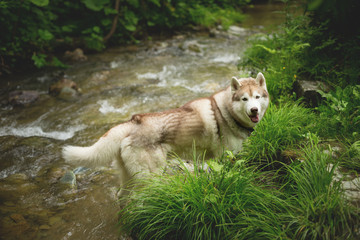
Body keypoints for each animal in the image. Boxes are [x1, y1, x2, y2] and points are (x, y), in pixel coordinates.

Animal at [63, 72, 268, 195]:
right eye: (244, 99)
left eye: (257, 97)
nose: (254, 110)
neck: (226, 112)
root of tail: (132, 122)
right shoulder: (226, 157)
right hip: (150, 177)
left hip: (129, 177)